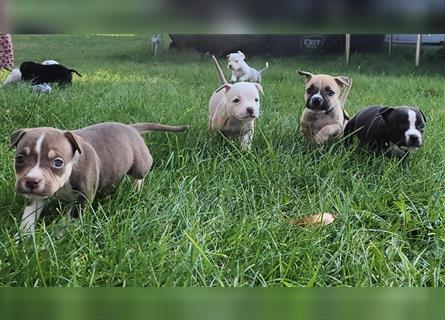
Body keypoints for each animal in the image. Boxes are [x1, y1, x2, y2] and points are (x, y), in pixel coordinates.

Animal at [10, 121, 187, 234]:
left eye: (58, 162)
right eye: (19, 159)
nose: (31, 181)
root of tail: (131, 128)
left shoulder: (83, 198)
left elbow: (70, 219)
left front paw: (56, 236)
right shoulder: (35, 196)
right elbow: (29, 215)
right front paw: (23, 237)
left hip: (140, 164)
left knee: (141, 172)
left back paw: (135, 188)